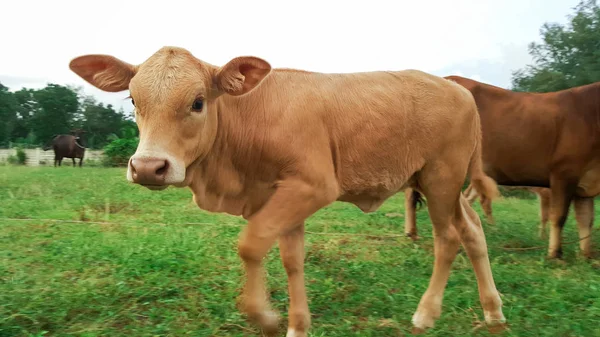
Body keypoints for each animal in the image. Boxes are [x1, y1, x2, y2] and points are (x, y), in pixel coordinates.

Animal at [68, 46, 504, 336]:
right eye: (133, 100)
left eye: (197, 102)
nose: (147, 167)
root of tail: (459, 89)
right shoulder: (280, 195)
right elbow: (291, 259)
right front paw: (298, 325)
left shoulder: (312, 185)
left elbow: (251, 244)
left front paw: (264, 316)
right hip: (439, 184)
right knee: (473, 231)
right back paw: (493, 311)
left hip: (441, 178)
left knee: (448, 238)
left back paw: (426, 314)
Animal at [406, 76, 596, 258]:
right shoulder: (564, 172)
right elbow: (558, 216)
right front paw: (555, 254)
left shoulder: (584, 184)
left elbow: (586, 220)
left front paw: (586, 255)